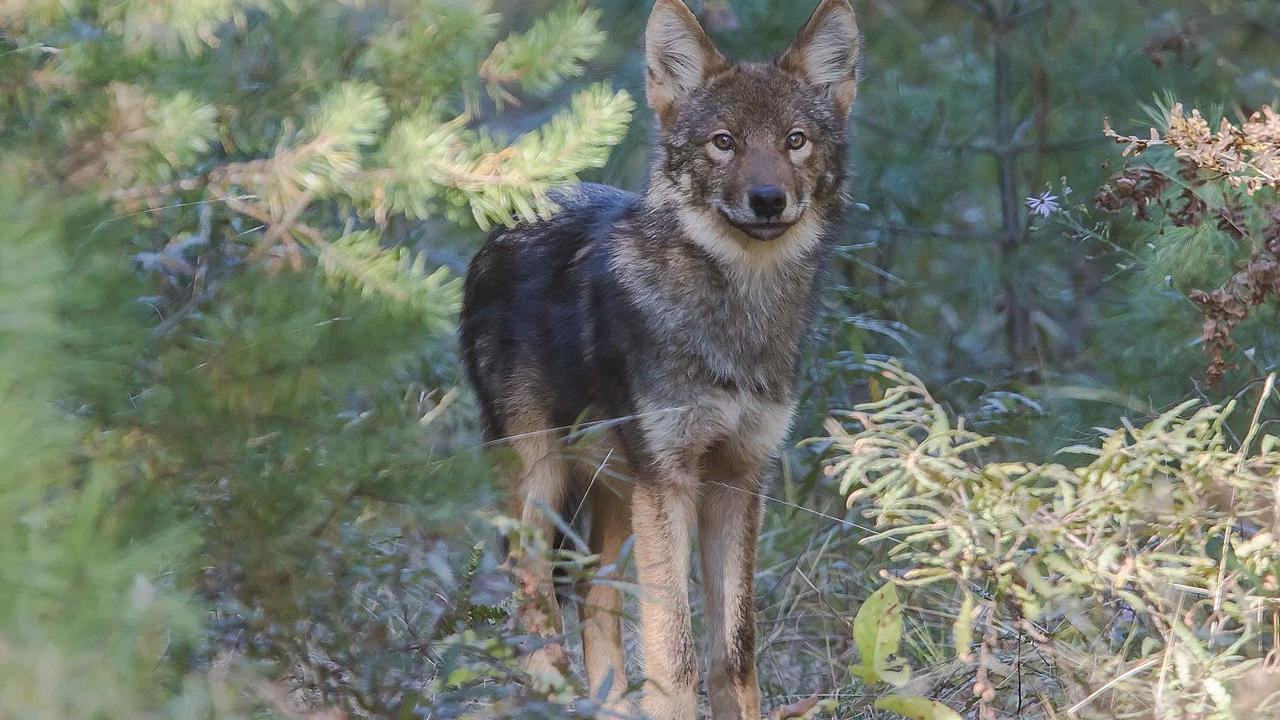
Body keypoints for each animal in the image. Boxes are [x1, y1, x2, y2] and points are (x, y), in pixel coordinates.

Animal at [460, 1, 860, 712]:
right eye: (724, 142)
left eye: (794, 141)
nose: (767, 200)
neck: (736, 318)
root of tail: (506, 221)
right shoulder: (669, 480)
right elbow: (674, 654)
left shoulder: (737, 477)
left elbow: (734, 652)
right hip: (544, 481)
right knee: (533, 601)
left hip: (616, 490)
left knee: (594, 601)